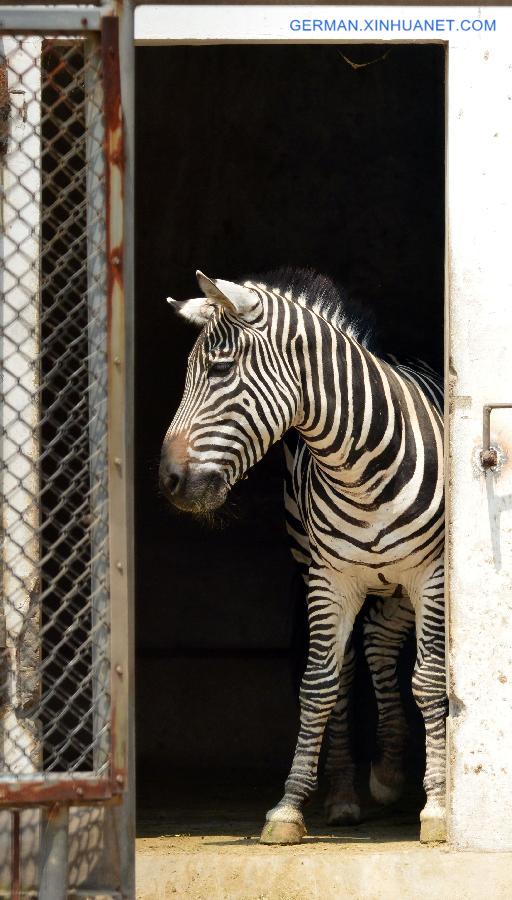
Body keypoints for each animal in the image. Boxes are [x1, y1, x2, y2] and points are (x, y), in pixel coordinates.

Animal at [160, 268, 444, 844]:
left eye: (220, 369)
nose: (169, 481)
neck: (360, 469)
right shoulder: (330, 579)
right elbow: (318, 686)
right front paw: (288, 808)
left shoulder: (431, 573)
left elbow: (429, 680)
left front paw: (440, 805)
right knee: (358, 659)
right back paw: (352, 792)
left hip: (399, 579)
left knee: (381, 642)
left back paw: (389, 773)